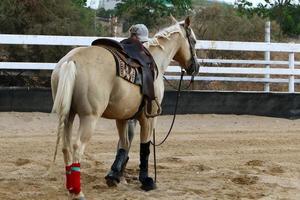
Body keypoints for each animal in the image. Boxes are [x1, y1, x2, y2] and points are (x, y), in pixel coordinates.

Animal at [50, 16, 198, 199]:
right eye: (194, 41)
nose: (195, 67)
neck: (156, 61)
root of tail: (71, 60)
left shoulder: (122, 117)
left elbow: (124, 145)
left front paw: (114, 176)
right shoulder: (148, 118)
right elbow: (144, 148)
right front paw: (146, 180)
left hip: (67, 115)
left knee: (66, 146)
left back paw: (70, 188)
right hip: (89, 117)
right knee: (77, 146)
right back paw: (78, 192)